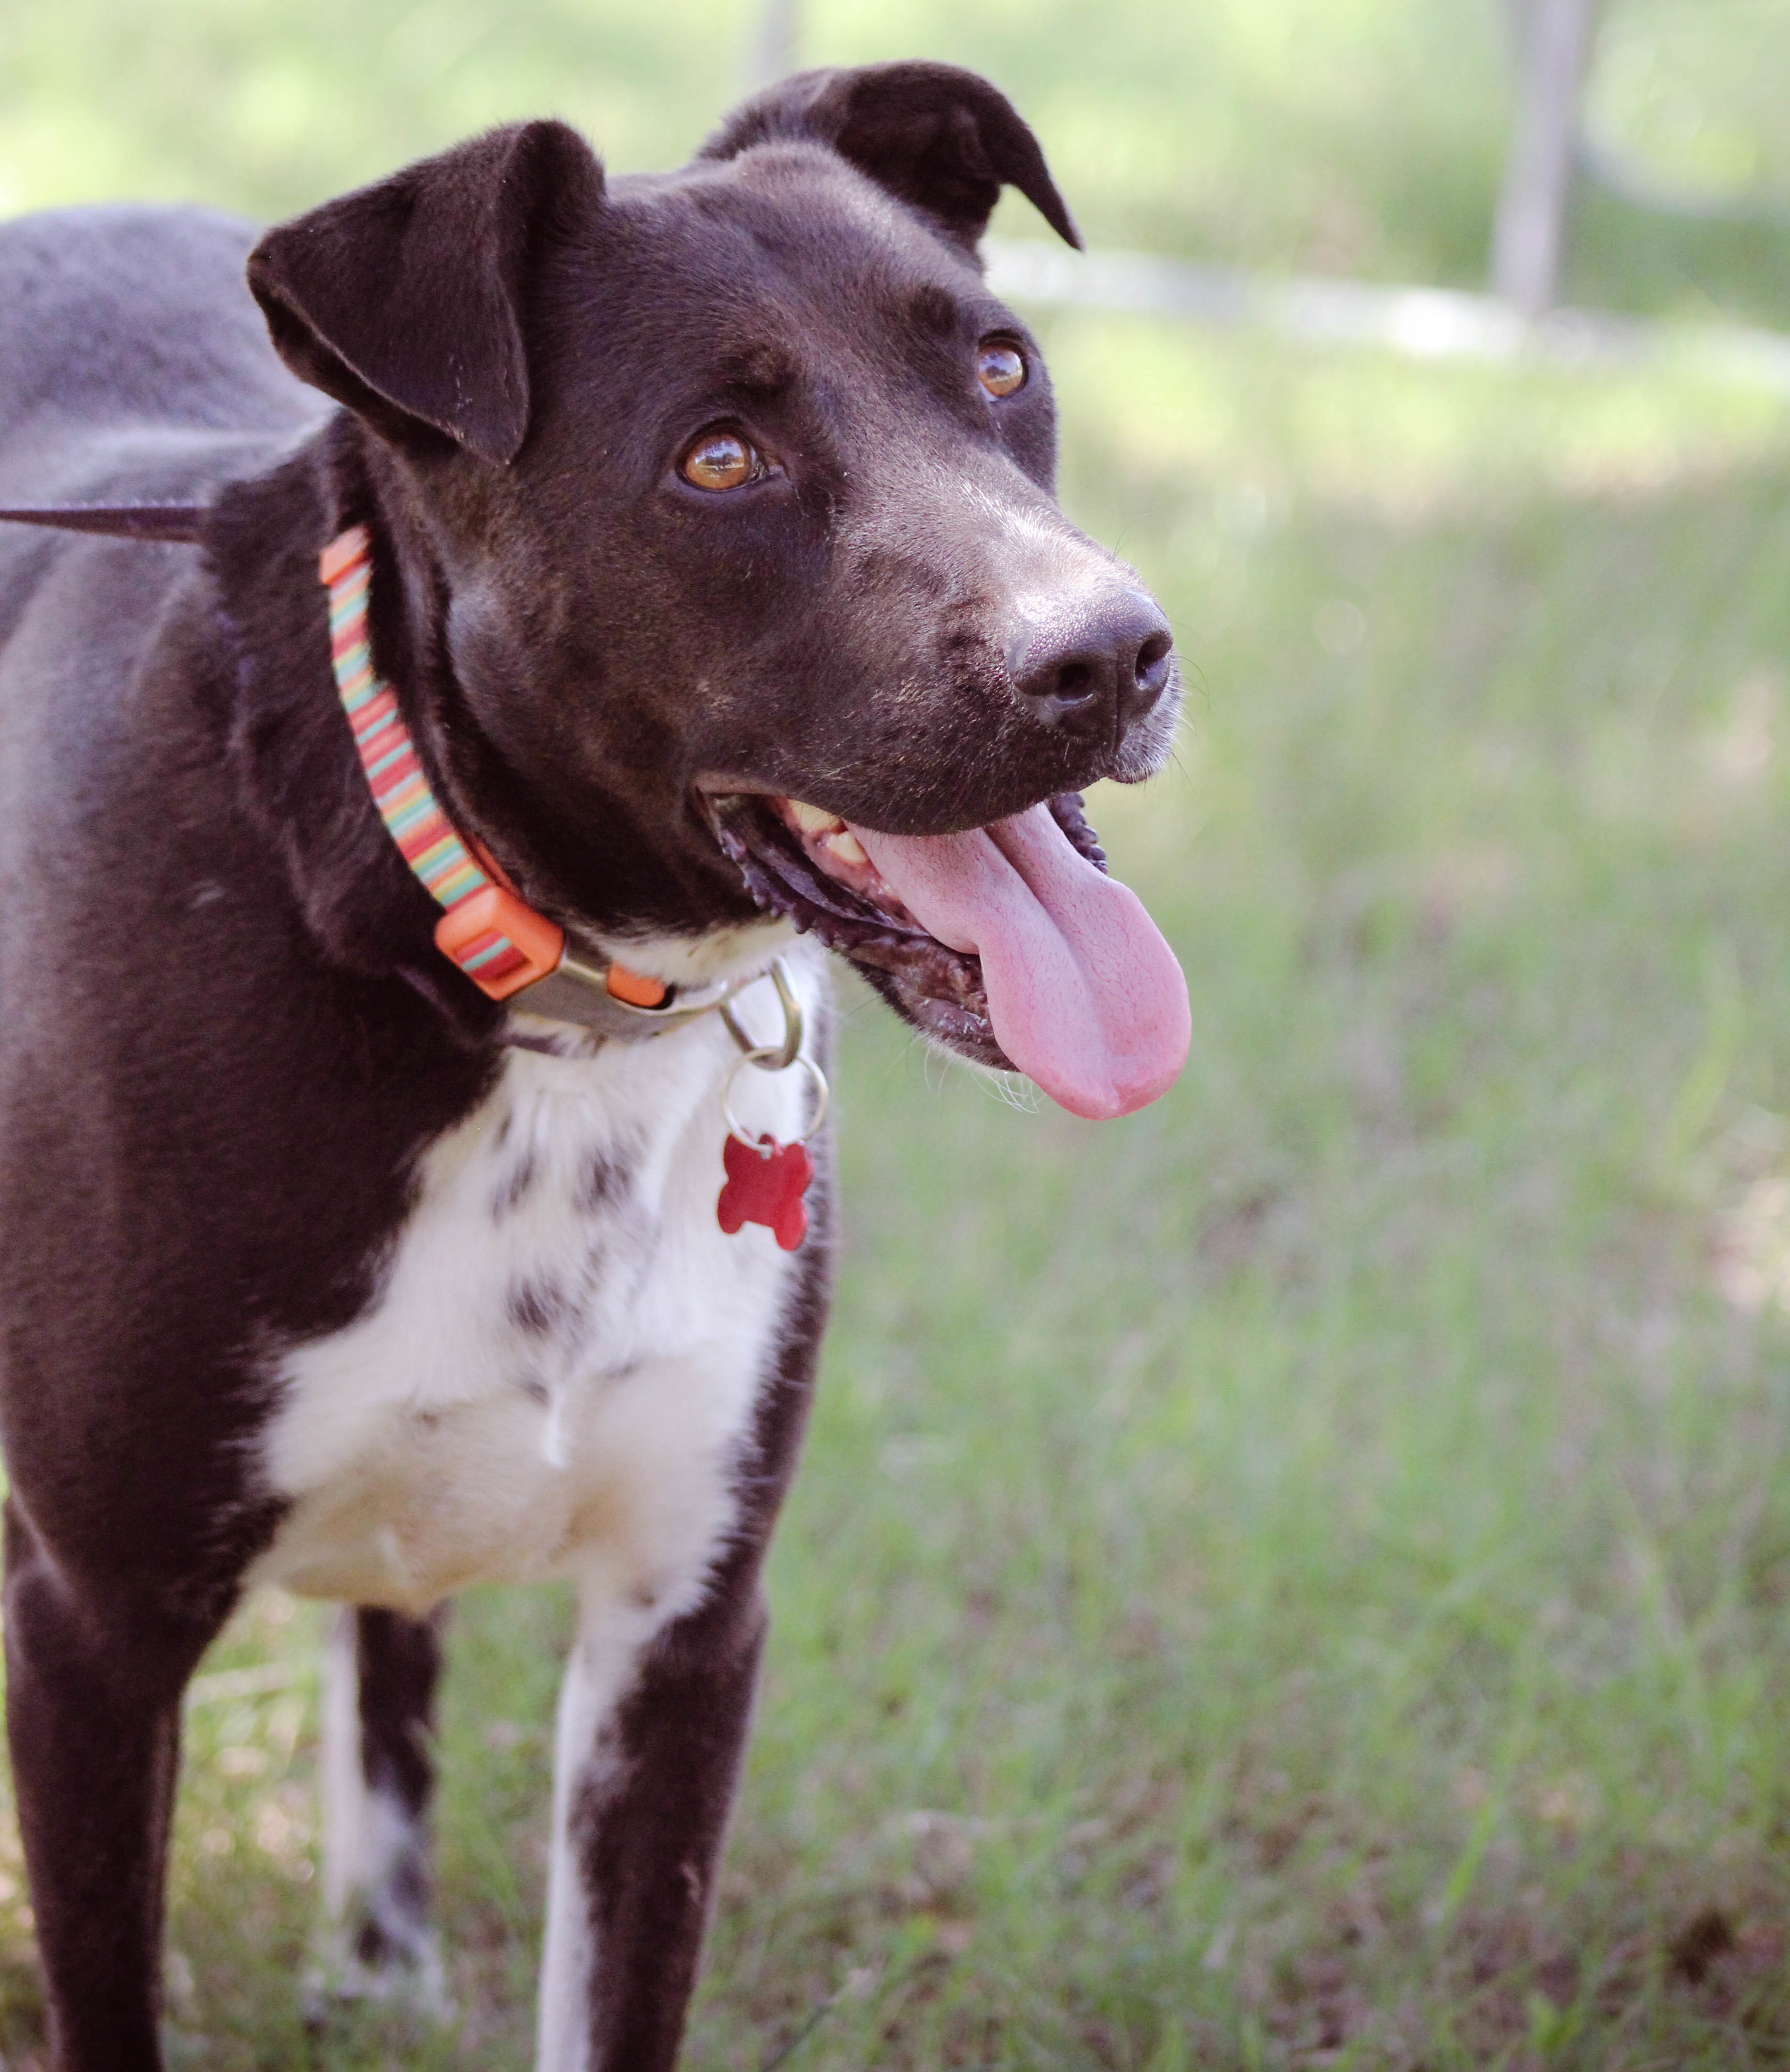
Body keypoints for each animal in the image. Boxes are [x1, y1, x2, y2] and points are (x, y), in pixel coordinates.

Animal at [0, 56, 1185, 2064]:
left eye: (1001, 365)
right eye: (718, 460)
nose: (1109, 655)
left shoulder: (683, 1623)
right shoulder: (91, 1631)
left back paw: (379, 1954)